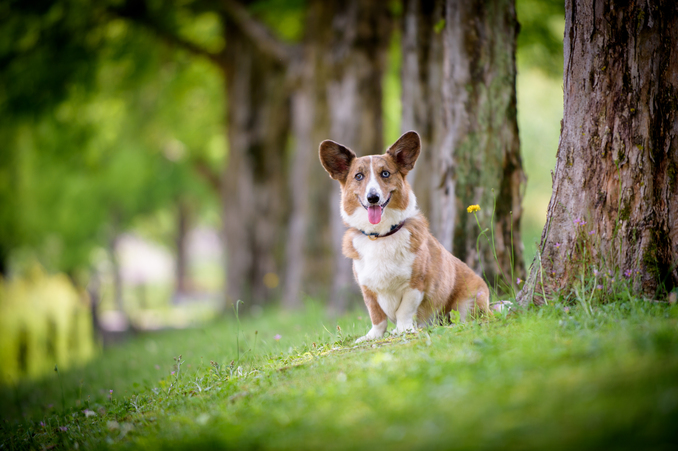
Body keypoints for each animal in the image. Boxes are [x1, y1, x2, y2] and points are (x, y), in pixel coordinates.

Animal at [318, 131, 488, 342]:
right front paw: (373, 336)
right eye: (358, 176)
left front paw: (403, 330)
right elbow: (377, 316)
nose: (372, 198)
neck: (381, 235)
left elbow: (404, 311)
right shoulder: (368, 289)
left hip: (468, 302)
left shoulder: (415, 285)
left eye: (385, 173)